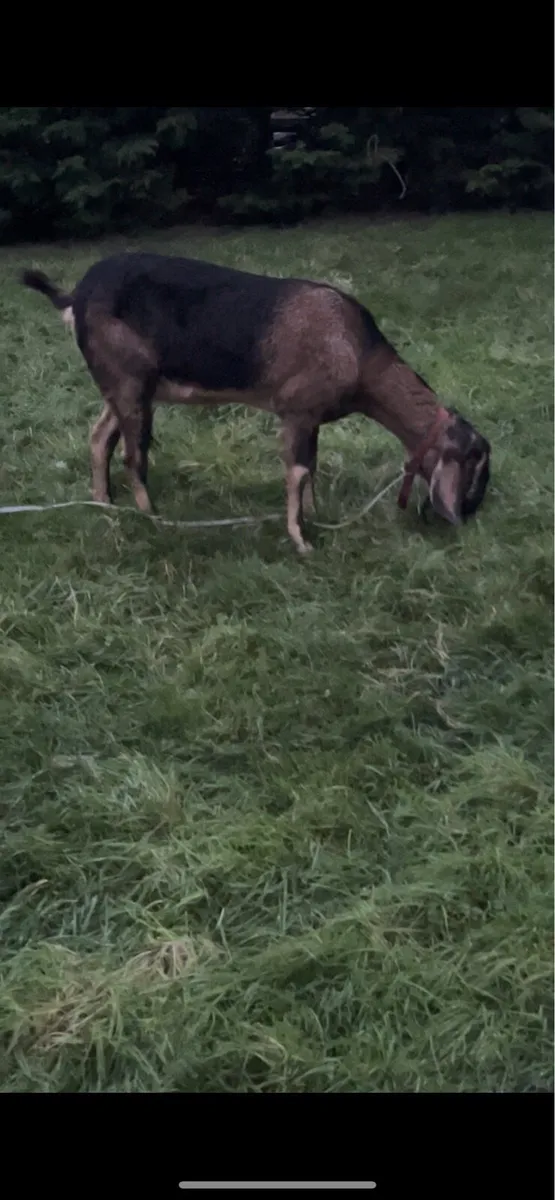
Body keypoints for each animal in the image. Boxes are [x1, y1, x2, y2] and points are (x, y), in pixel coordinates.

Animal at [21, 254, 491, 553]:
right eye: (474, 469)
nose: (467, 518)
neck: (356, 351)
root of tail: (75, 297)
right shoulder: (296, 410)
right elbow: (297, 471)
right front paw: (301, 541)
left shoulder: (312, 418)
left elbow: (311, 467)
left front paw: (316, 514)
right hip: (129, 381)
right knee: (133, 455)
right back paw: (155, 520)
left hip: (127, 385)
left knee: (100, 435)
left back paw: (104, 504)